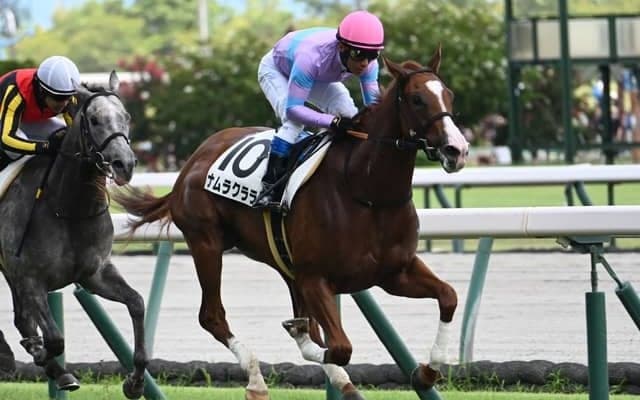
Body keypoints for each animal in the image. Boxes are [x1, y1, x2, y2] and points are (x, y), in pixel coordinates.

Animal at [0, 72, 147, 398]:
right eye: (94, 119)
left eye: (127, 117)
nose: (124, 164)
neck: (66, 208)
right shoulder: (31, 279)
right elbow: (55, 338)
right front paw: (41, 353)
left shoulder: (94, 274)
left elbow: (137, 303)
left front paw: (134, 382)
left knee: (22, 320)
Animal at [115, 46, 469, 400]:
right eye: (417, 99)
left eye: (449, 94)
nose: (458, 149)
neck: (366, 191)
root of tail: (191, 162)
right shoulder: (316, 278)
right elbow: (339, 347)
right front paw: (300, 338)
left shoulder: (395, 272)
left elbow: (448, 296)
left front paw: (426, 372)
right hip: (206, 242)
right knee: (212, 316)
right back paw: (257, 380)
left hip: (281, 259)